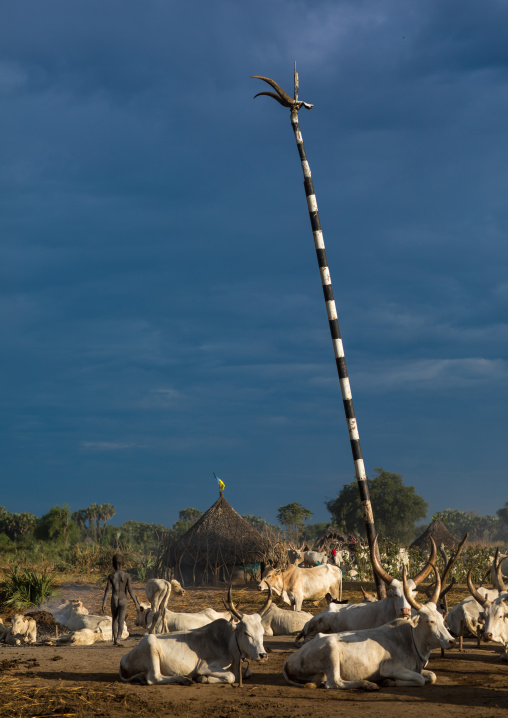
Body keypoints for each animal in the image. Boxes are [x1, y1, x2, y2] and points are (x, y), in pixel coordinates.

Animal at [119, 587, 271, 685]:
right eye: (246, 632)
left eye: (262, 632)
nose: (263, 655)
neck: (228, 642)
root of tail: (123, 660)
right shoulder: (204, 666)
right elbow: (231, 676)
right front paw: (203, 678)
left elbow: (247, 672)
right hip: (151, 643)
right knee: (154, 678)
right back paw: (184, 679)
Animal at [283, 564, 455, 689]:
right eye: (429, 621)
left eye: (441, 618)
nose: (451, 640)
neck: (410, 640)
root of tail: (289, 659)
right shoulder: (389, 668)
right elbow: (420, 679)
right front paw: (388, 681)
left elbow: (432, 676)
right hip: (331, 651)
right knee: (333, 682)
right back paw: (368, 684)